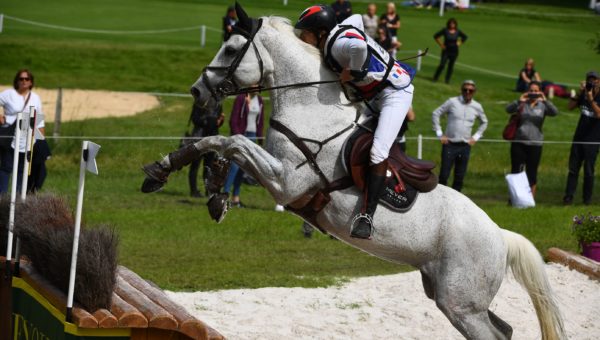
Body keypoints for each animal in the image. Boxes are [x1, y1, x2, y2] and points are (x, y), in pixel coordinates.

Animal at [143, 5, 564, 340]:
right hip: (452, 297)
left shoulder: (286, 181)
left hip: (461, 304)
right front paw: (176, 175)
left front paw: (199, 181)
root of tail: (501, 236)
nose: (197, 92)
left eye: (231, 49)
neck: (310, 105)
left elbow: (231, 142)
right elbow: (218, 141)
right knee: (504, 329)